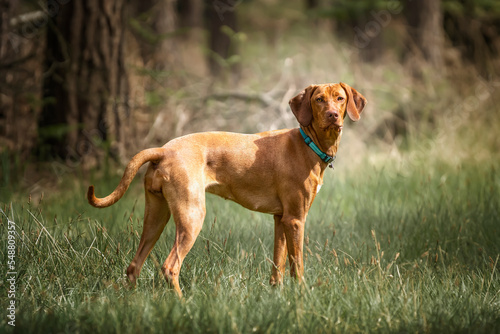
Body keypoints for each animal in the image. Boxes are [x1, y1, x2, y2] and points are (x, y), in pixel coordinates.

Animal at [87, 82, 368, 296]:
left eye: (340, 99)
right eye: (319, 100)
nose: (332, 114)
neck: (308, 143)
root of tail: (164, 150)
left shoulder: (281, 219)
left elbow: (277, 265)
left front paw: (276, 297)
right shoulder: (296, 219)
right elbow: (296, 265)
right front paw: (302, 296)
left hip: (156, 217)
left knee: (134, 266)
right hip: (191, 216)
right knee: (170, 266)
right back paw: (183, 305)